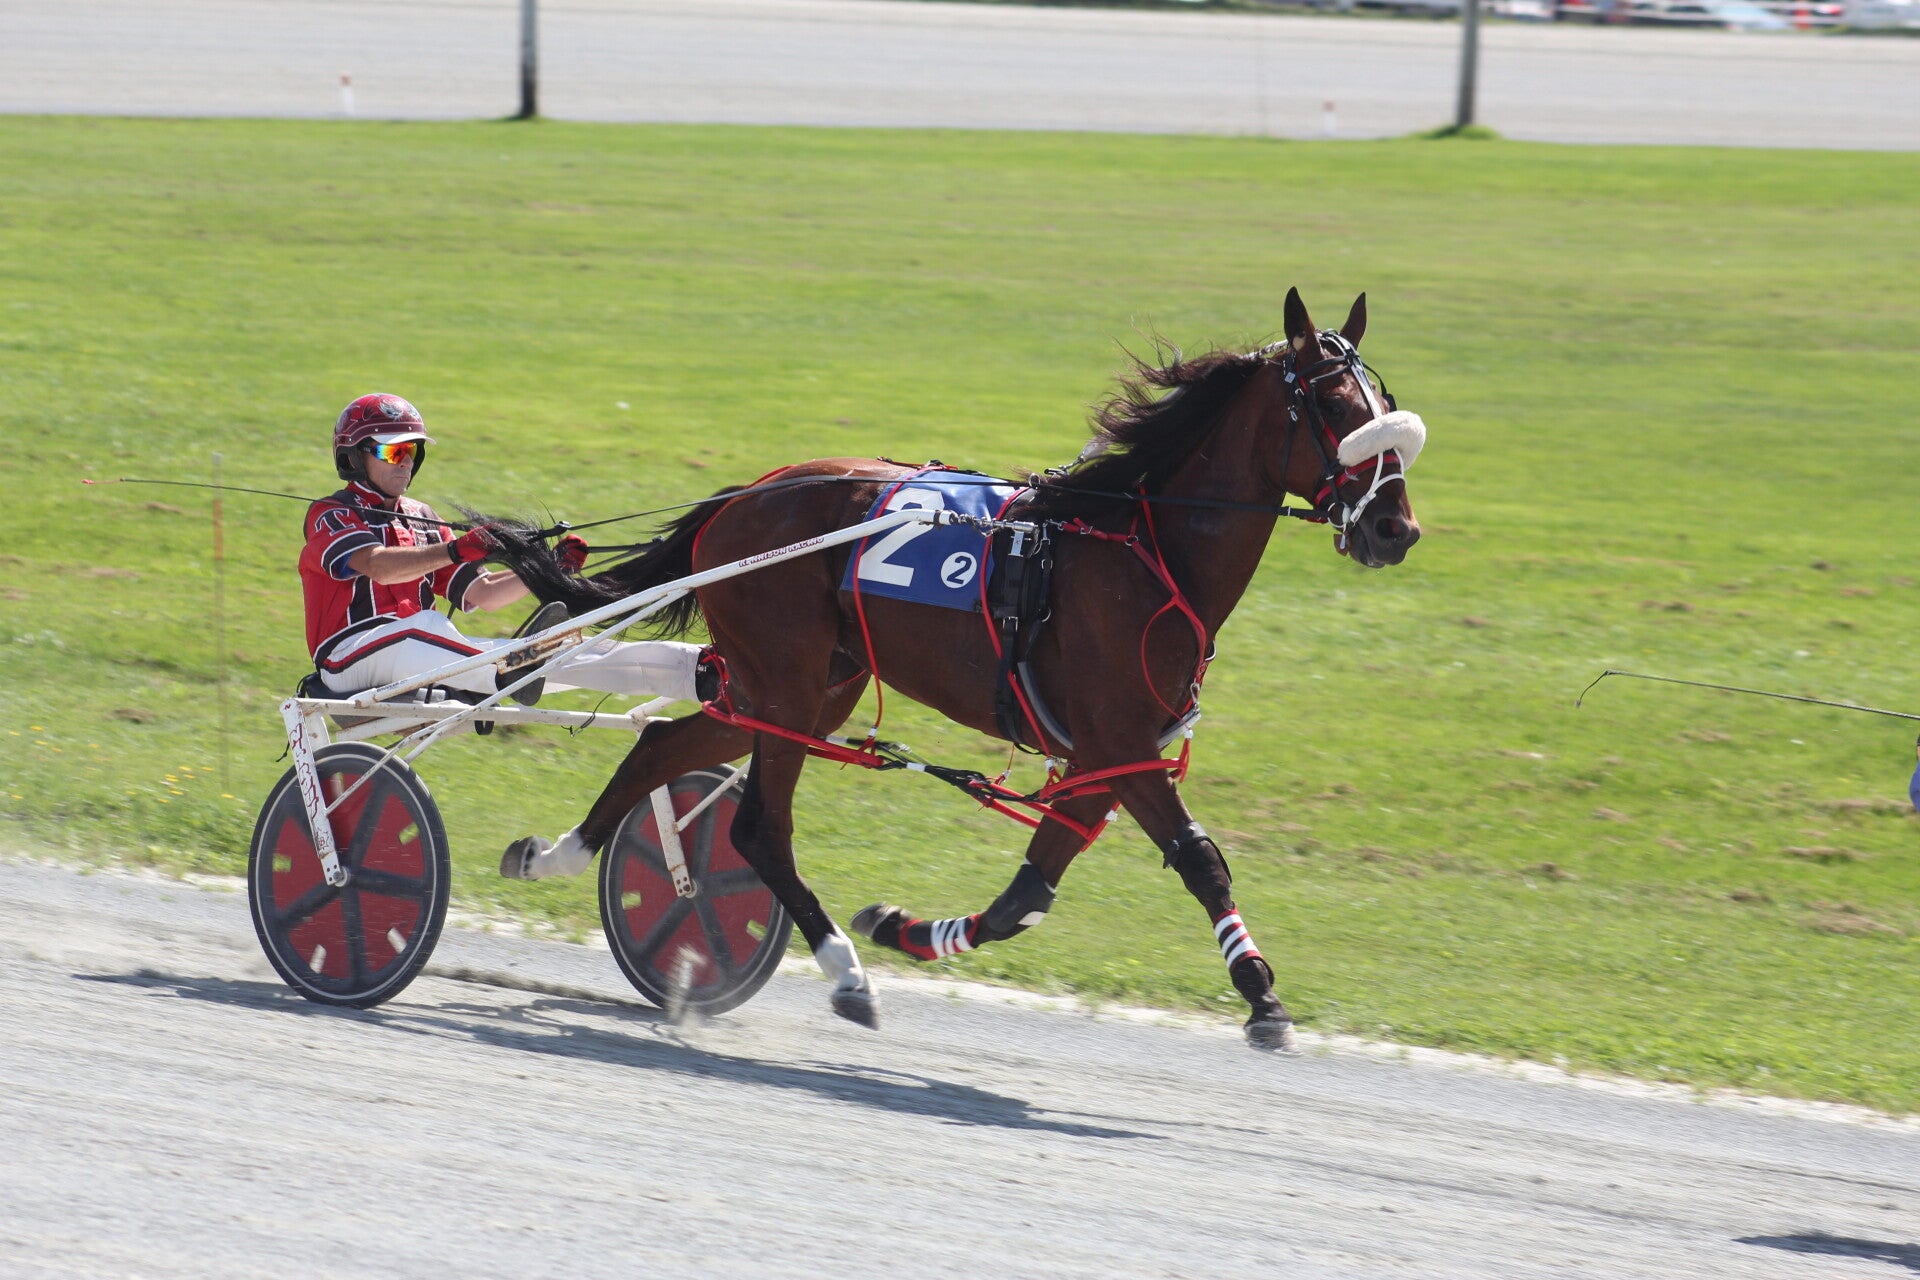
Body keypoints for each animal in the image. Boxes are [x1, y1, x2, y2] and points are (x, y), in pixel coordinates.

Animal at [482, 288, 1423, 1049]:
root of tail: (743, 497)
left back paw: (557, 856)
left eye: (1389, 406)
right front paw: (1262, 998)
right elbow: (1199, 859)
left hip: (802, 688)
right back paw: (844, 972)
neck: (1145, 553)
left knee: (662, 748)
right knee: (756, 827)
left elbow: (1025, 898)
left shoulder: (1103, 756)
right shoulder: (1120, 740)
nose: (1397, 530)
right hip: (785, 684)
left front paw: (904, 927)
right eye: (1335, 404)